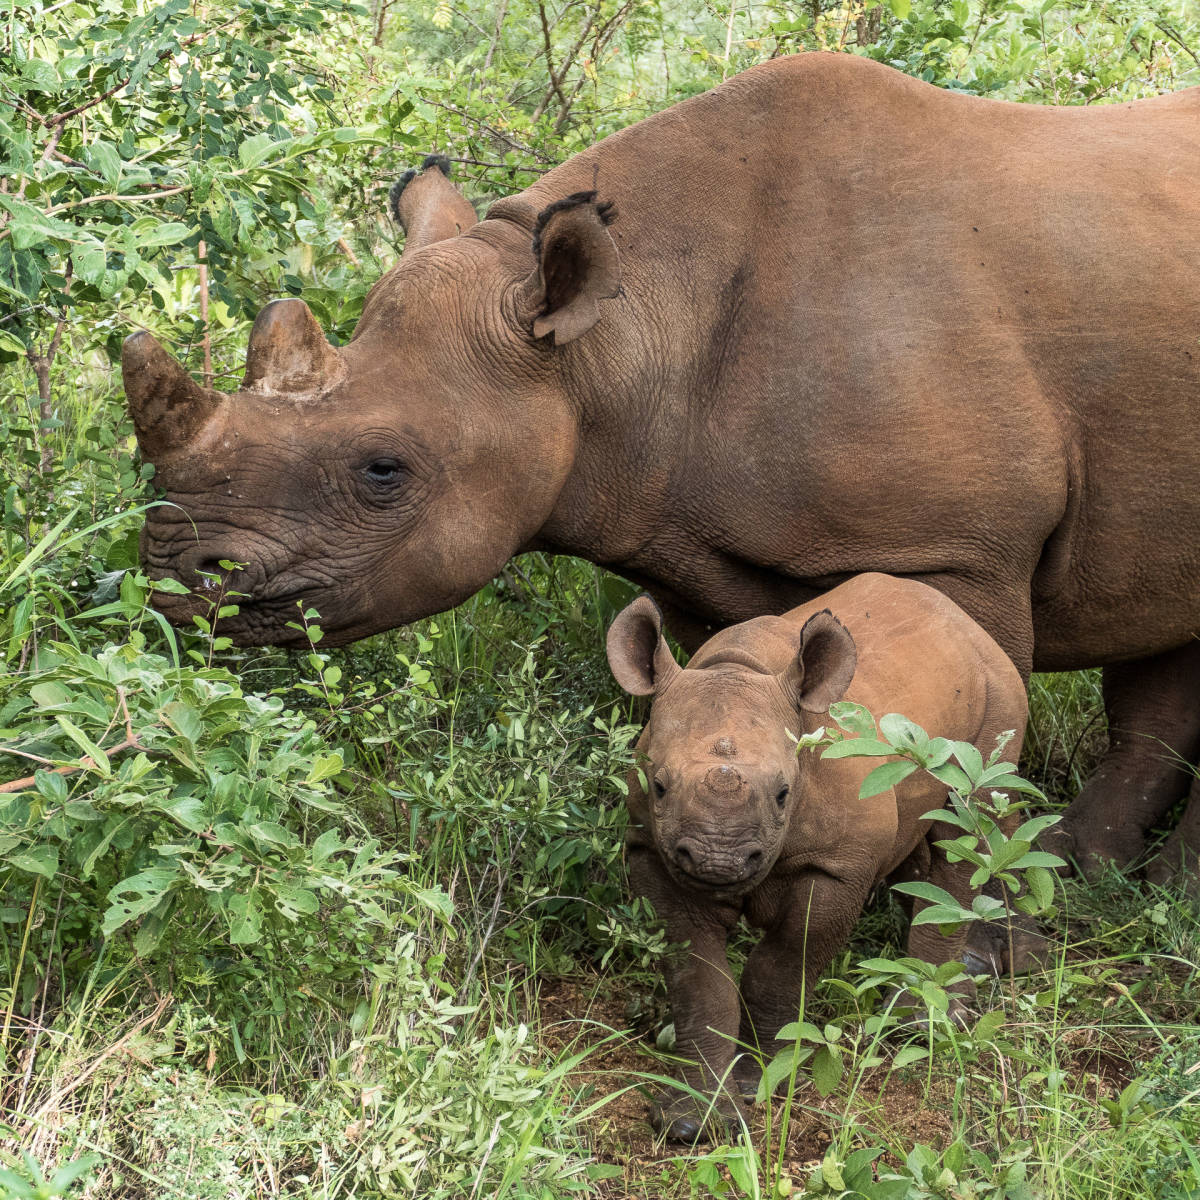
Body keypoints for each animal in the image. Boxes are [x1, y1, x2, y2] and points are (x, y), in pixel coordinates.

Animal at [122, 53, 1200, 893]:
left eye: (383, 469)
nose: (170, 577)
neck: (618, 339)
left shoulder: (956, 547)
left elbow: (949, 753)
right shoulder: (693, 545)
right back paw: (1103, 877)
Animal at [605, 572, 1028, 1140]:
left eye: (784, 793)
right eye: (660, 786)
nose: (718, 863)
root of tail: (965, 621)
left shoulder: (837, 866)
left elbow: (780, 969)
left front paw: (763, 1081)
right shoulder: (653, 852)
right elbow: (698, 981)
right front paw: (692, 1121)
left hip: (1001, 696)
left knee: (967, 829)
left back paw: (925, 1026)